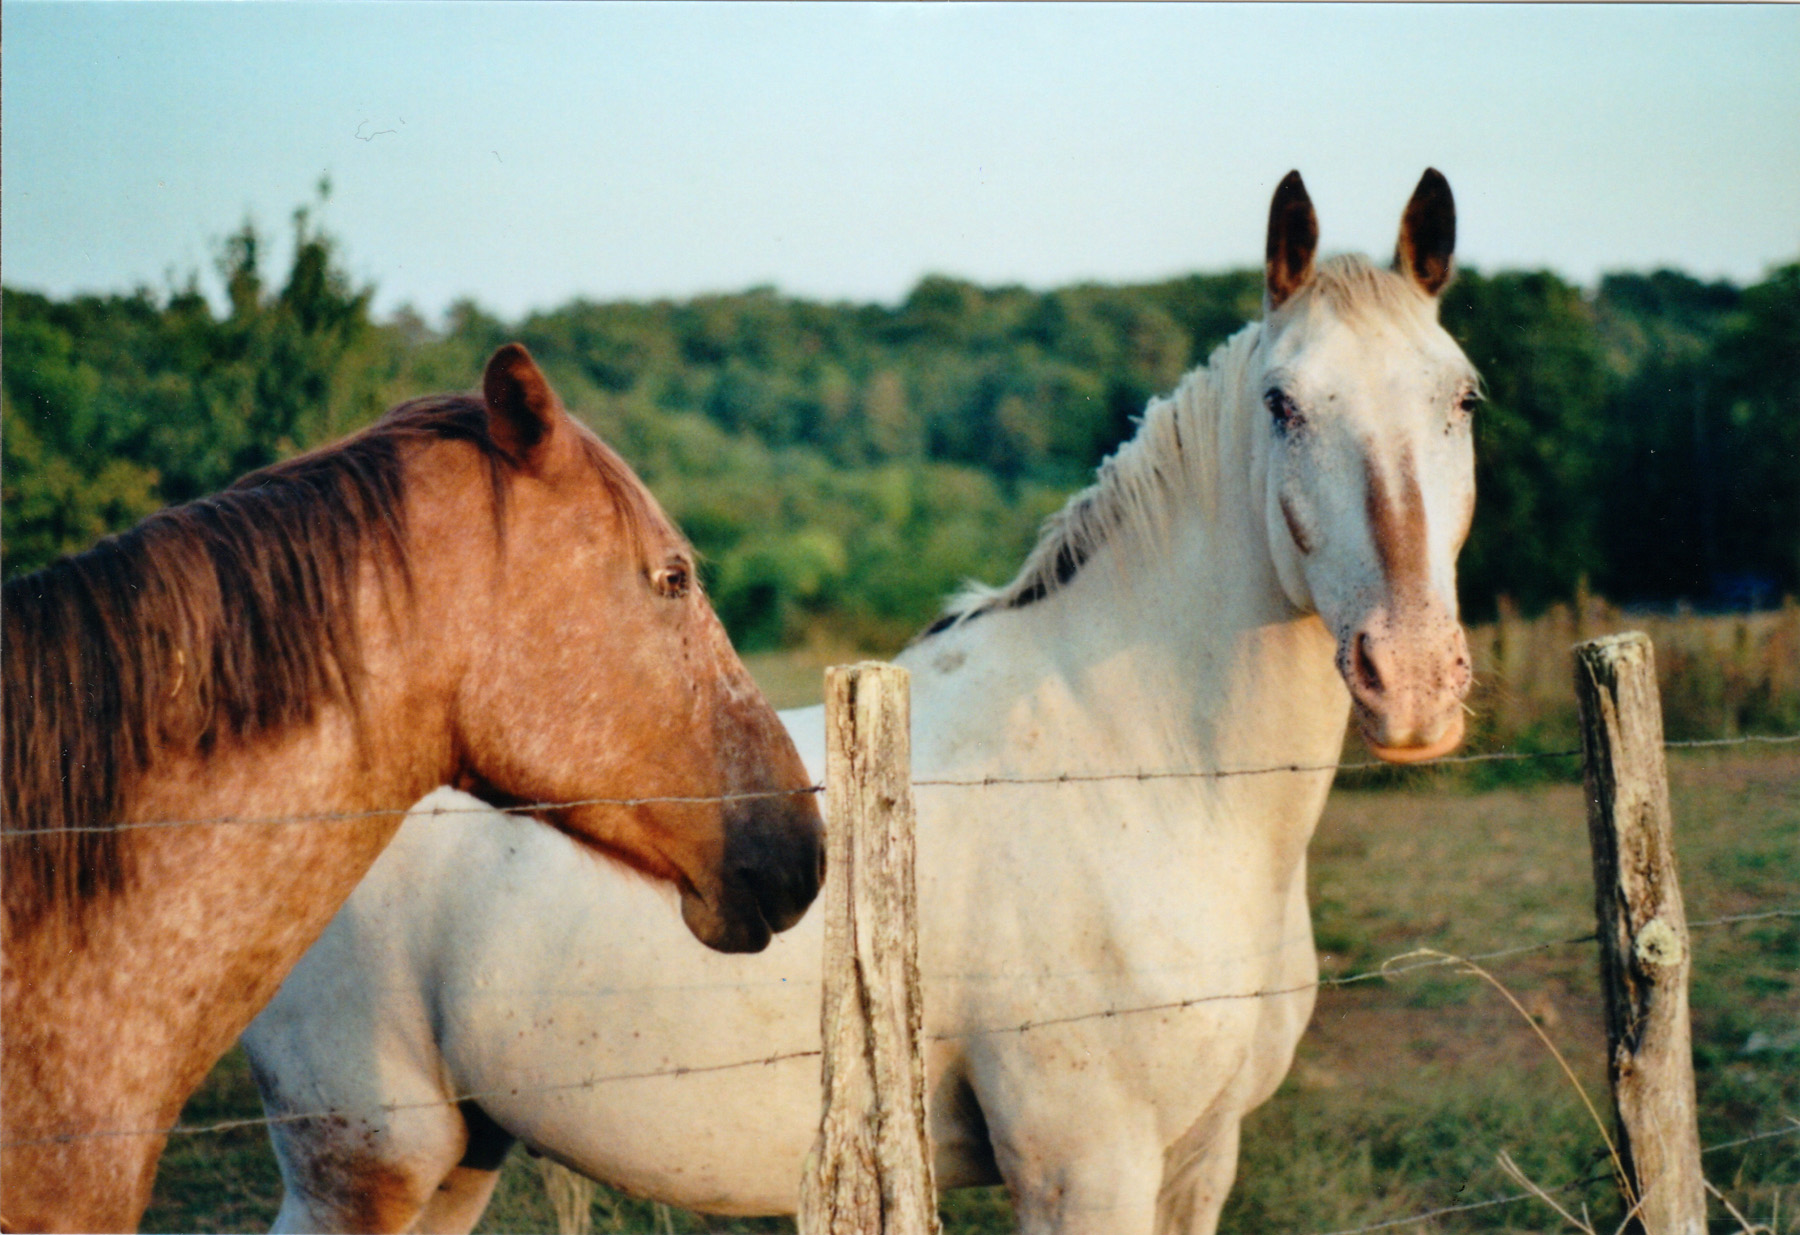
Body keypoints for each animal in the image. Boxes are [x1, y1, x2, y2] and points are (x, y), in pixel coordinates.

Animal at [245, 170, 1477, 1234]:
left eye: (1463, 395)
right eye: (1282, 403)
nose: (1413, 678)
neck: (1147, 770)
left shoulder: (1199, 1159)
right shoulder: (1087, 1165)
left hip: (462, 1156)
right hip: (368, 1160)